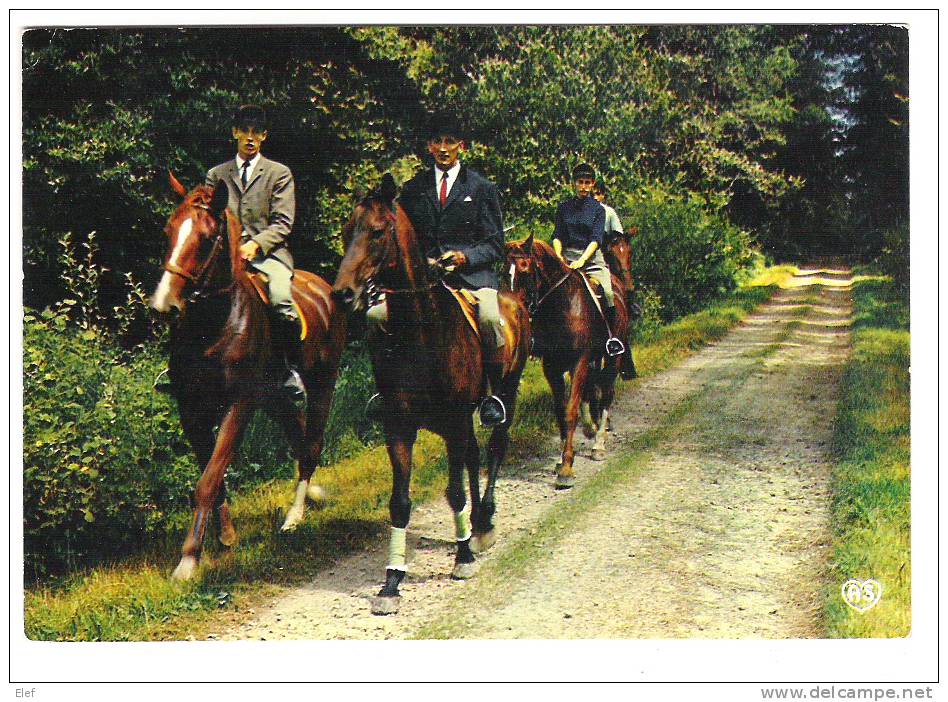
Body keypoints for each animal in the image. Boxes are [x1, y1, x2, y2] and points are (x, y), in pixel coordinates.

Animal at [154, 176, 346, 584]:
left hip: (322, 383)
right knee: (299, 436)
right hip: (275, 397)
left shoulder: (238, 405)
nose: (164, 305)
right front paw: (225, 536)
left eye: (207, 238)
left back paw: (294, 517)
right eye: (168, 231)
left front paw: (188, 561)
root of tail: (324, 288)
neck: (213, 323)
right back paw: (313, 496)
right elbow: (212, 477)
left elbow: (209, 478)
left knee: (312, 443)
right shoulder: (191, 410)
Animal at [334, 176, 528, 616]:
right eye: (347, 231)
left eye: (377, 232)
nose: (343, 294)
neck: (421, 333)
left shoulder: (454, 421)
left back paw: (483, 523)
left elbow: (453, 492)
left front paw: (463, 558)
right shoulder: (399, 428)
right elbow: (400, 502)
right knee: (473, 455)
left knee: (495, 446)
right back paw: (476, 528)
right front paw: (391, 582)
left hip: (504, 394)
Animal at [504, 234, 628, 486]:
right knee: (594, 392)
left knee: (606, 393)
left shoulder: (578, 362)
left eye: (524, 268)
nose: (513, 310)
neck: (562, 306)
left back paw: (599, 444)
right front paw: (562, 460)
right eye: (505, 272)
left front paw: (567, 470)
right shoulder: (551, 366)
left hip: (613, 359)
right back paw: (591, 429)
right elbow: (561, 411)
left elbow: (571, 411)